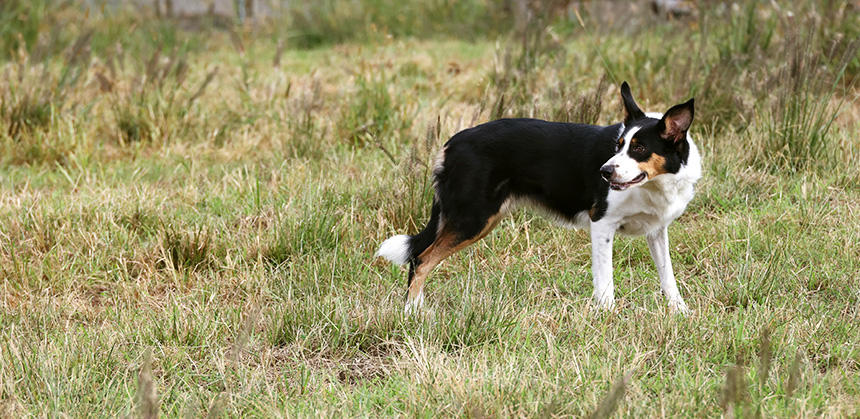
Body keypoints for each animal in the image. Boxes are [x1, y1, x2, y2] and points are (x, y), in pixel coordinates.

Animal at [376, 82, 700, 314]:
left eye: (640, 148)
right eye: (618, 145)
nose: (605, 172)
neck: (654, 185)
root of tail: (451, 143)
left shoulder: (657, 231)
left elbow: (668, 276)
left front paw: (679, 311)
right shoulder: (602, 224)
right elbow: (605, 281)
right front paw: (608, 314)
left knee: (421, 257)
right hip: (473, 218)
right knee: (421, 258)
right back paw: (411, 313)